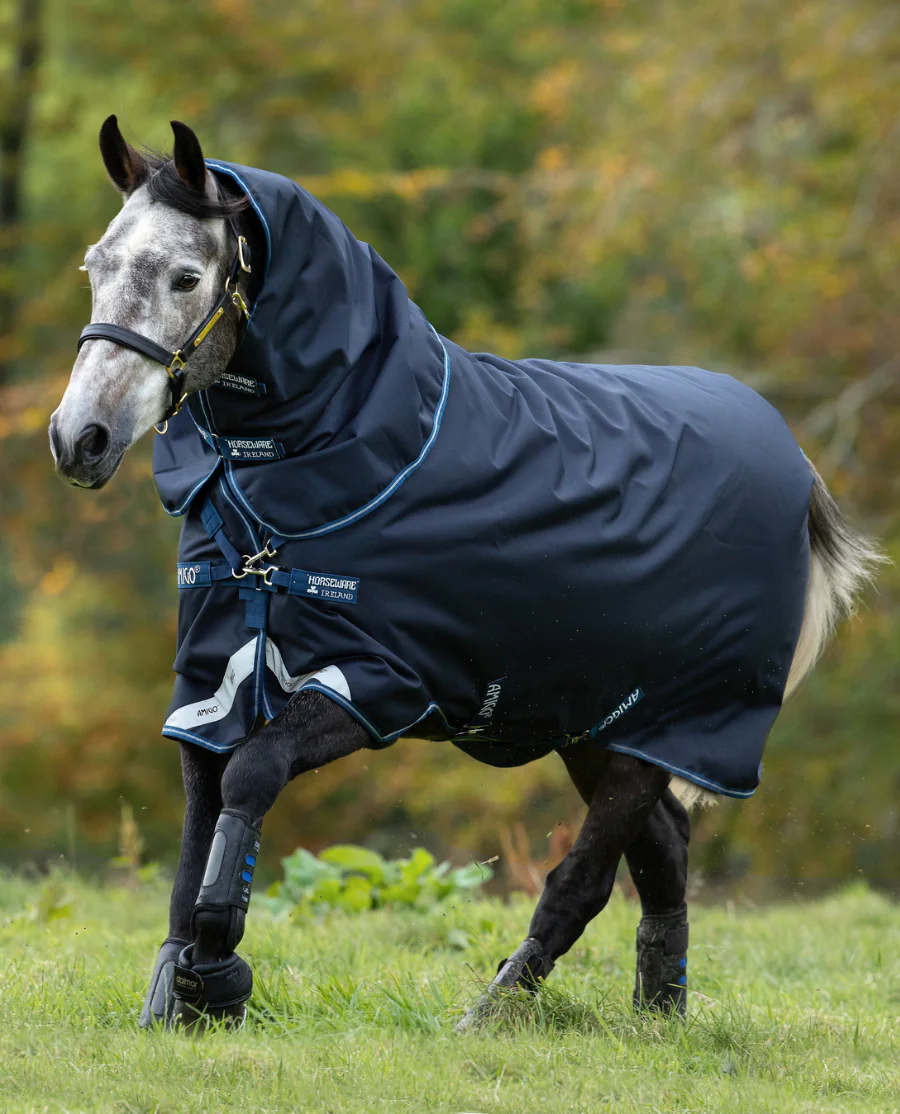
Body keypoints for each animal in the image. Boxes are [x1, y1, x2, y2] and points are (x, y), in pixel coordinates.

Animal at [50, 117, 883, 1030]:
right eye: (95, 266)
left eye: (186, 276)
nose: (79, 438)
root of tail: (794, 461)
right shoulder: (213, 679)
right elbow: (202, 816)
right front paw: (185, 991)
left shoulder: (375, 680)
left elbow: (253, 774)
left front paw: (217, 958)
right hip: (596, 720)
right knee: (663, 845)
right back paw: (658, 1014)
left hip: (668, 723)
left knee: (590, 874)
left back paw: (495, 1010)